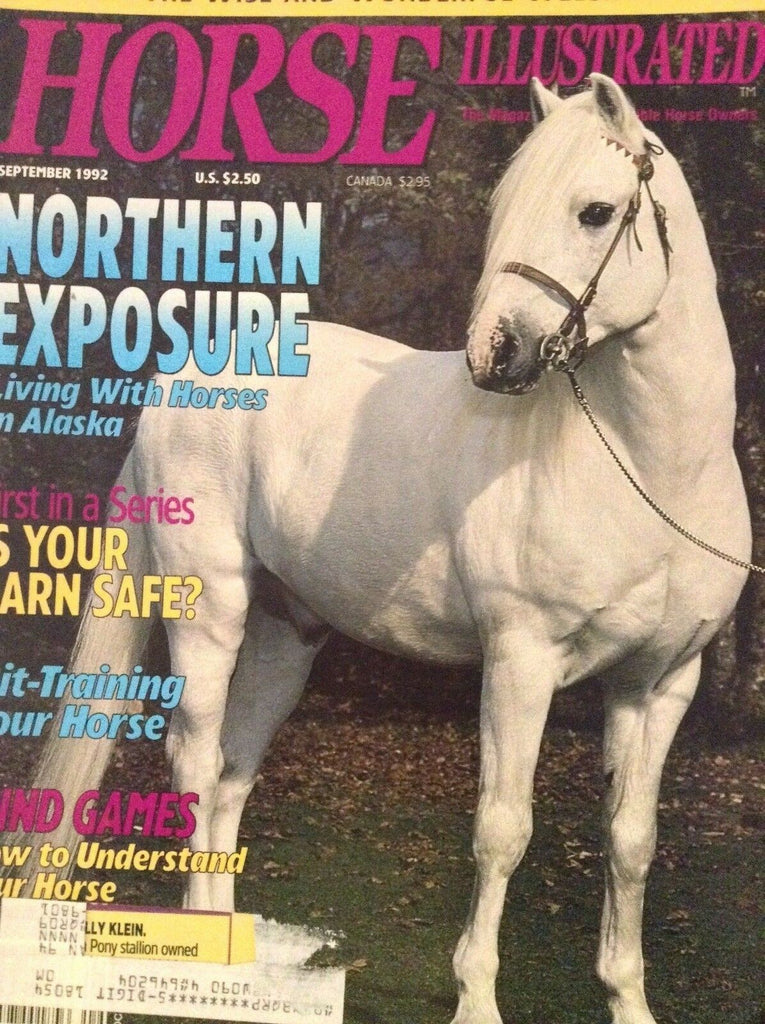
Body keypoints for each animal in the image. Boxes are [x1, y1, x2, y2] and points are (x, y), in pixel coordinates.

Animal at [32, 75, 751, 1024]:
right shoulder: (520, 664)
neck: (644, 472)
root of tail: (180, 377)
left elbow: (632, 841)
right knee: (191, 759)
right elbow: (502, 832)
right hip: (210, 610)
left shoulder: (659, 684)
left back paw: (233, 969)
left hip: (287, 636)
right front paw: (476, 1002)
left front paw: (627, 1000)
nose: (493, 353)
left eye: (595, 212)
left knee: (229, 776)